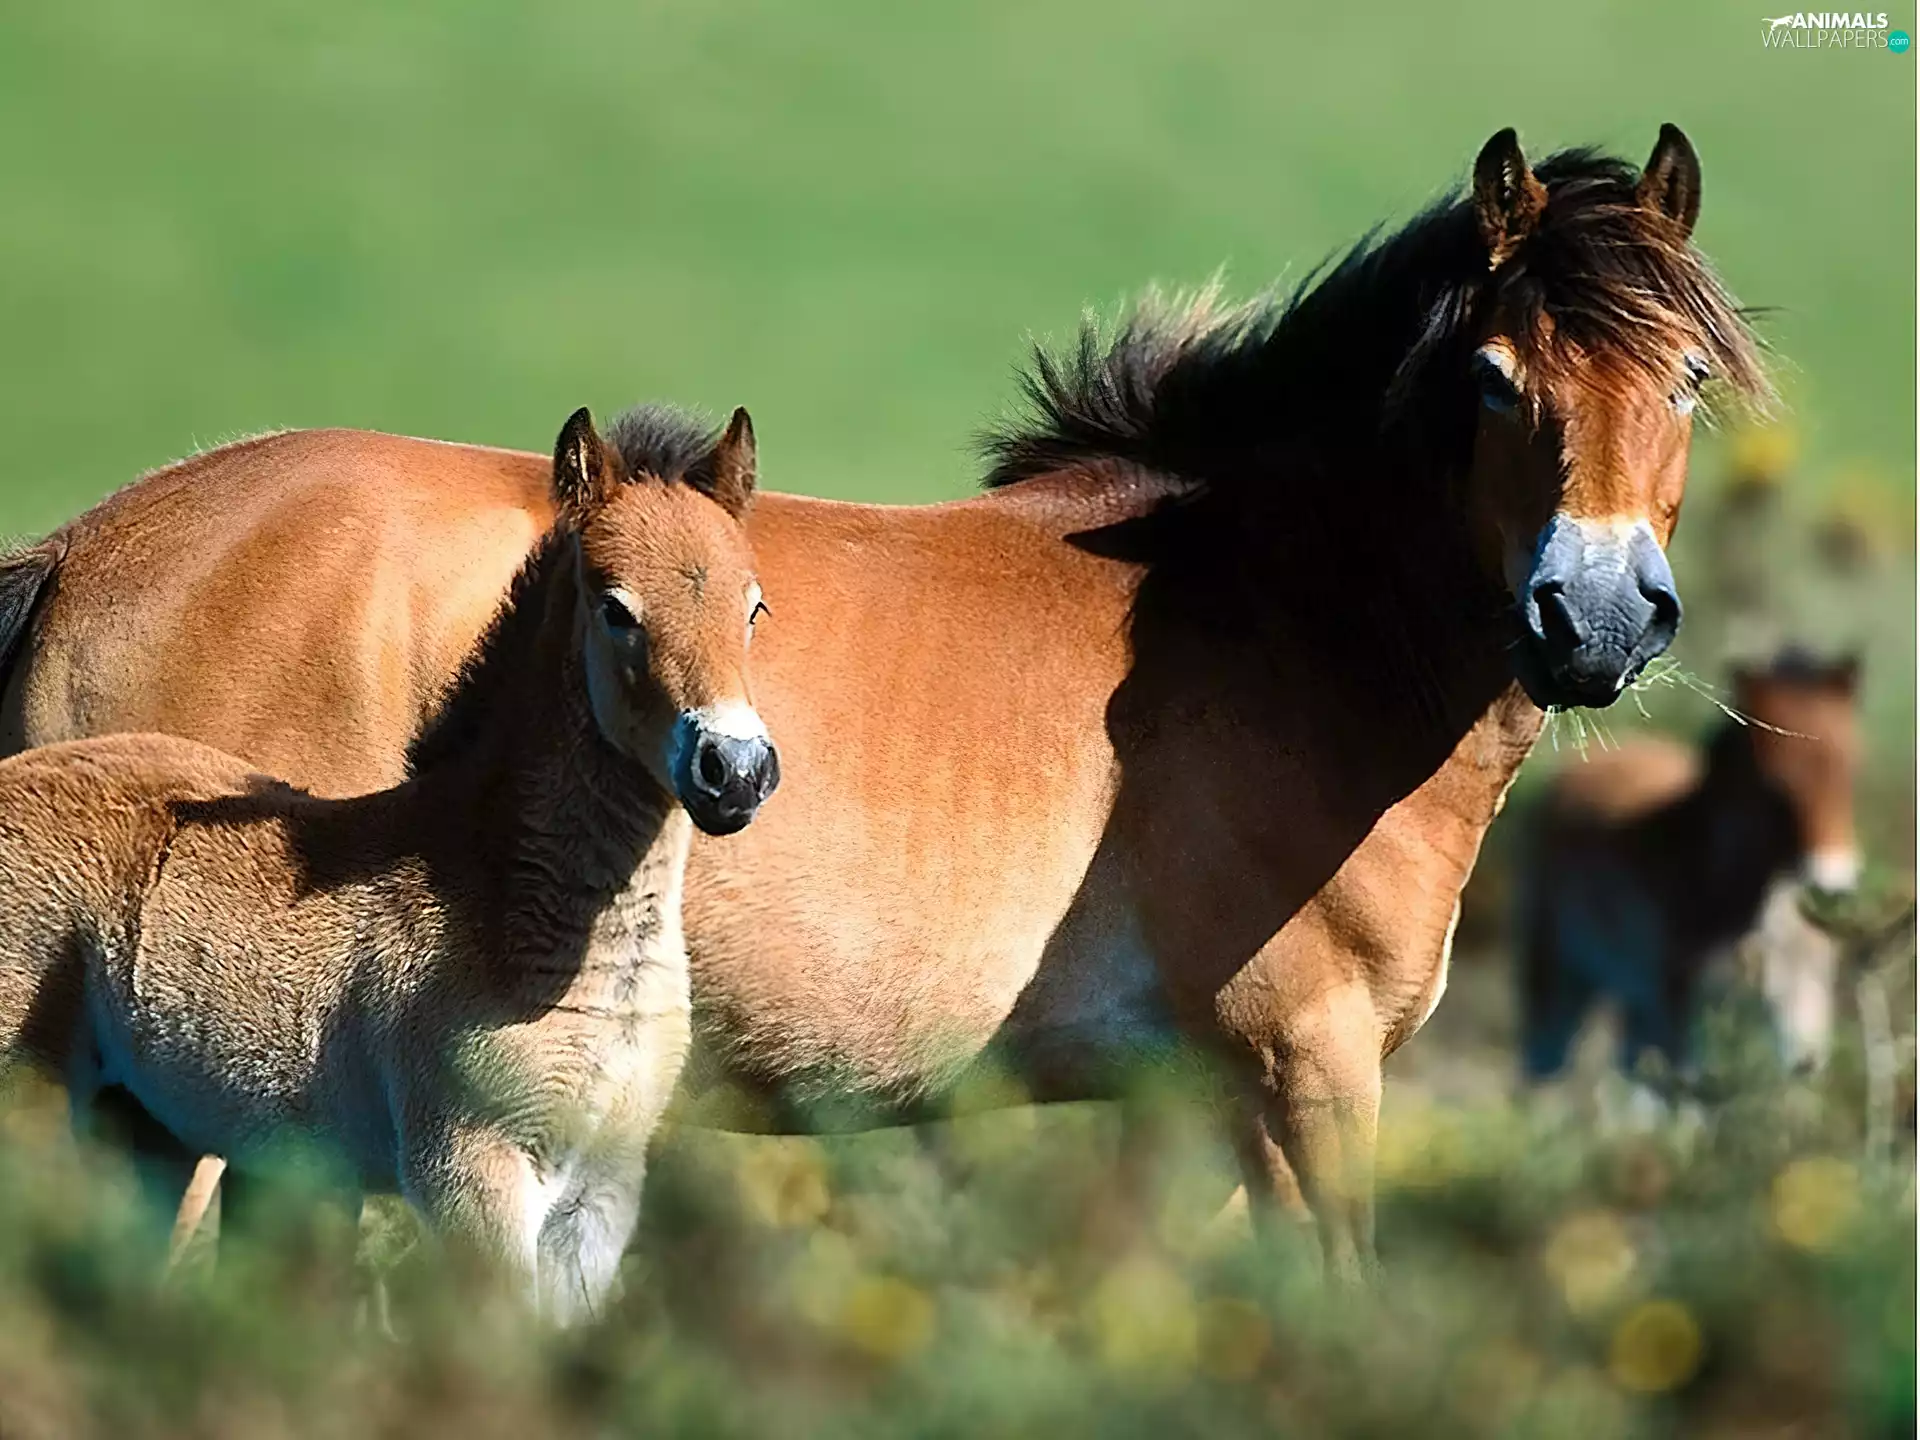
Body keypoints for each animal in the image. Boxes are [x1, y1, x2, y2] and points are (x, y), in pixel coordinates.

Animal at [0, 406, 777, 1322]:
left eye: (753, 606)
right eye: (616, 607)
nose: (735, 770)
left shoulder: (600, 1194)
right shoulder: (469, 1176)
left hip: (146, 1133)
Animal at [1515, 650, 1862, 1085]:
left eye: (1850, 769)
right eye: (1773, 784)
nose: (1829, 888)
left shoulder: (1800, 1011)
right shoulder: (1676, 1013)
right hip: (1559, 980)